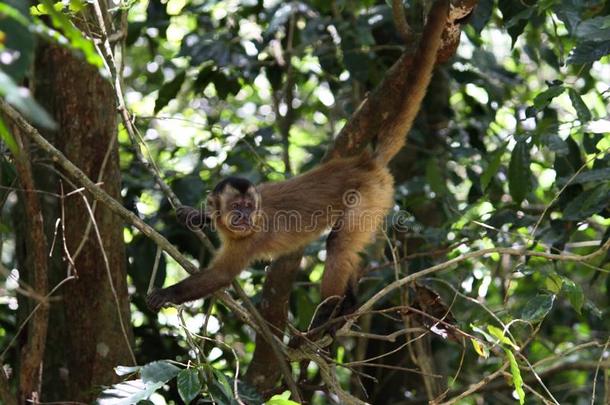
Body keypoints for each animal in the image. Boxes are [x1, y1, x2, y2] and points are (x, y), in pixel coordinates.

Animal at [147, 0, 448, 328]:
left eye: (249, 209)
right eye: (237, 208)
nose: (244, 218)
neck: (233, 229)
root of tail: (363, 161)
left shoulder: (250, 239)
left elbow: (221, 276)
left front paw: (168, 293)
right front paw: (195, 215)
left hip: (372, 195)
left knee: (339, 244)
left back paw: (330, 314)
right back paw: (347, 305)